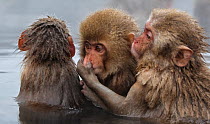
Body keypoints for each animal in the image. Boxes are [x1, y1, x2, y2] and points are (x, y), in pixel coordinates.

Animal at [77, 8, 210, 123]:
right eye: (88, 47)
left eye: (98, 48)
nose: (137, 40)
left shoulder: (150, 80)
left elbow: (125, 109)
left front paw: (89, 80)